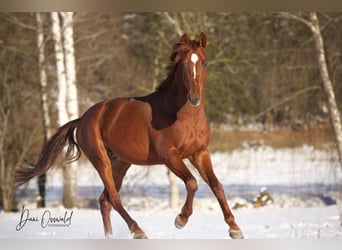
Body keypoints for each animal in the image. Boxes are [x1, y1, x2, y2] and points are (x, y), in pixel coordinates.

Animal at [15, 32, 243, 239]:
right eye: (184, 64)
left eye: (204, 63)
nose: (194, 98)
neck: (182, 115)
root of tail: (83, 118)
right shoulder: (170, 155)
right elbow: (192, 183)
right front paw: (181, 219)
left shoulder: (199, 153)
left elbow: (217, 186)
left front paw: (235, 228)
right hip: (102, 161)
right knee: (114, 199)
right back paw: (138, 231)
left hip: (120, 163)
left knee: (105, 201)